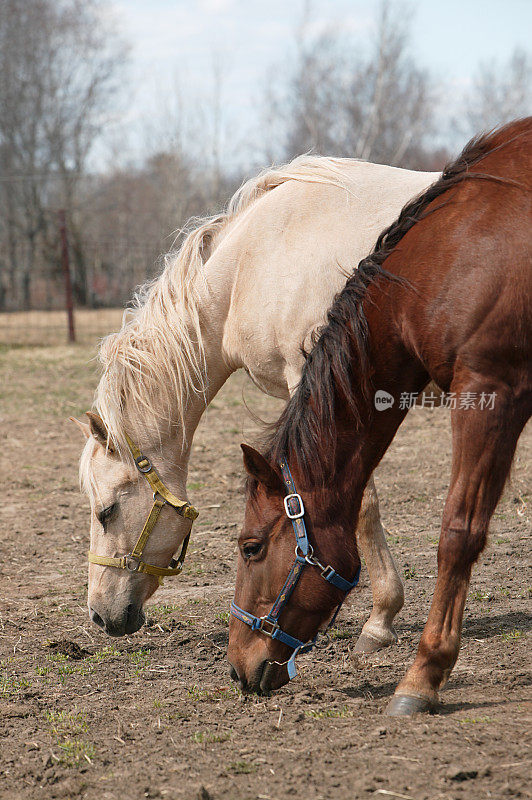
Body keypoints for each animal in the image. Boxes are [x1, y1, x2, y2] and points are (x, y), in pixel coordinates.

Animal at [230, 120, 532, 720]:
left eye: (251, 547)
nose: (236, 665)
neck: (449, 257)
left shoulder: (491, 392)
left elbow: (458, 532)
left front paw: (423, 674)